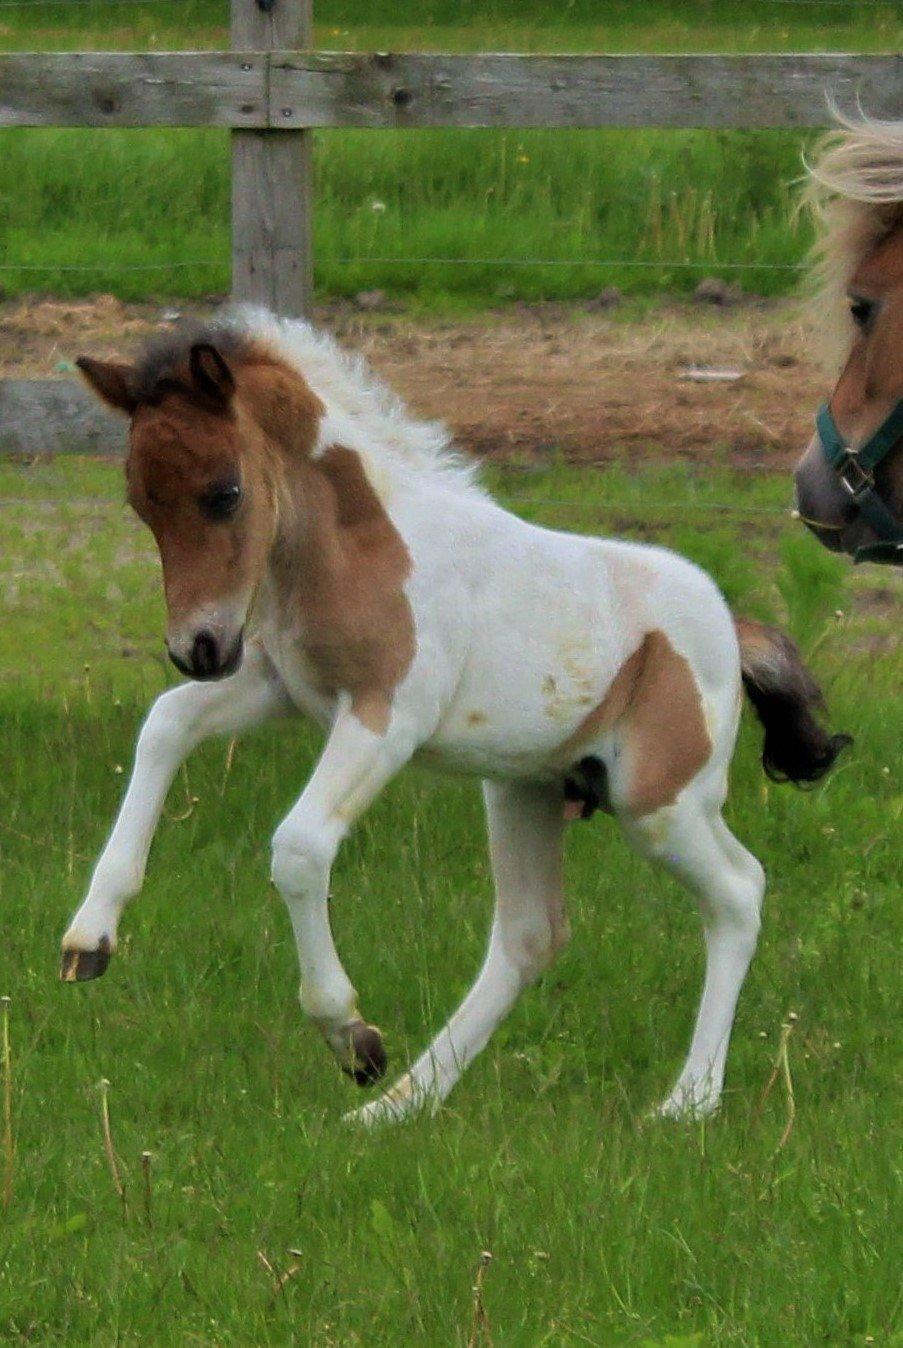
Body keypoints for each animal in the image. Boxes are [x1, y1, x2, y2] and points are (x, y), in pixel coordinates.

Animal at [61, 310, 851, 1121]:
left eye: (225, 493)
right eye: (140, 504)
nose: (197, 647)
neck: (356, 547)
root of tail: (733, 626)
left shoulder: (387, 718)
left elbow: (300, 847)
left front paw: (351, 1037)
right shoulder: (282, 686)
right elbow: (166, 724)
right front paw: (90, 936)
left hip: (659, 802)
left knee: (737, 893)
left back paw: (685, 1104)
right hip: (526, 789)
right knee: (531, 935)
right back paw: (396, 1108)